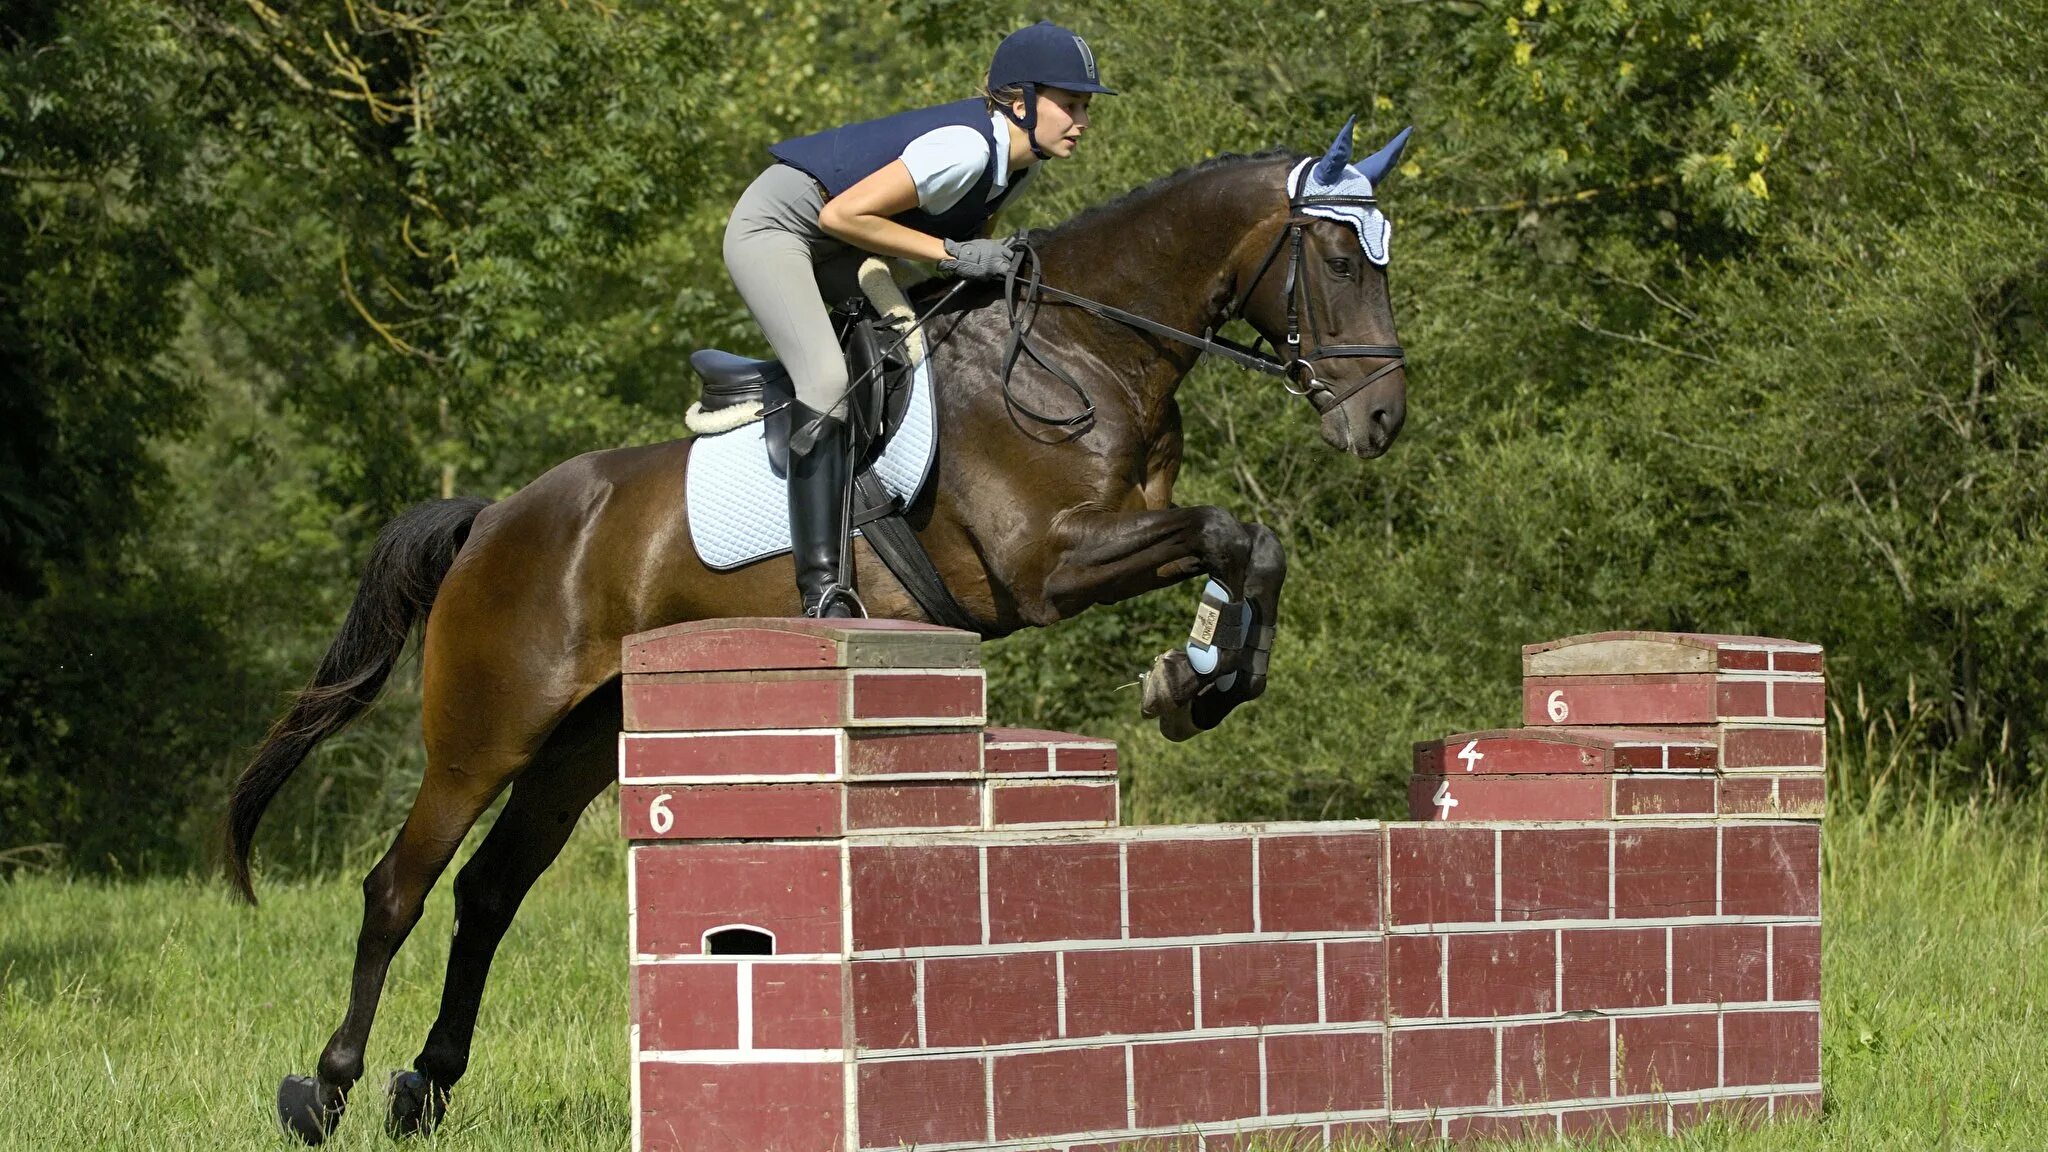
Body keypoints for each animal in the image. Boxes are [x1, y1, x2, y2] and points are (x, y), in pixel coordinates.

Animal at [228, 118, 1409, 1139]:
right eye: (1339, 261)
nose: (1381, 419)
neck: (1084, 342)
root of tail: (493, 520)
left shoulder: (1110, 539)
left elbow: (1249, 544)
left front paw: (1205, 679)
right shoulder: (1049, 563)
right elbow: (1227, 530)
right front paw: (1192, 679)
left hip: (578, 746)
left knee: (488, 892)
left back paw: (424, 1088)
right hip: (487, 733)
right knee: (399, 890)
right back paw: (325, 1092)